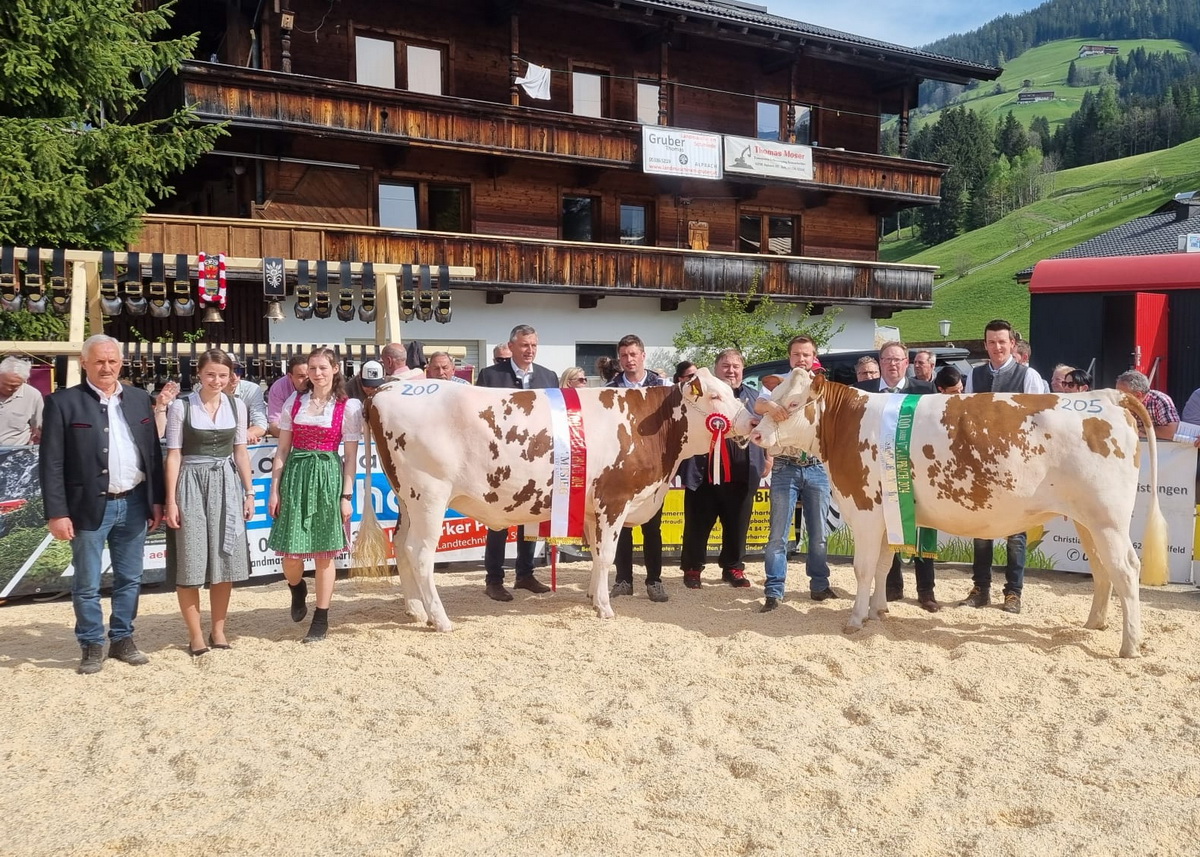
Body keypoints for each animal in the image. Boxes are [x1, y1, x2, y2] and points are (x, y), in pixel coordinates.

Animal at [362, 367, 748, 628]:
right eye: (715, 396)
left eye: (733, 392)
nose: (749, 419)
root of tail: (387, 389)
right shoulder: (614, 499)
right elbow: (607, 555)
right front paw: (605, 608)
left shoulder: (592, 507)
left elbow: (596, 555)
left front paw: (592, 597)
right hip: (429, 495)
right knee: (420, 553)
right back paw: (440, 619)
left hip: (406, 499)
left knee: (401, 545)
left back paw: (415, 610)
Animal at [753, 369, 1166, 657]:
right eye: (772, 394)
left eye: (793, 404)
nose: (755, 433)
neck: (848, 424)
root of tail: (1108, 396)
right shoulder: (886, 514)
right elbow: (885, 566)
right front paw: (878, 612)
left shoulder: (867, 511)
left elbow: (865, 569)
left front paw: (856, 620)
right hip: (1087, 521)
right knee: (1101, 568)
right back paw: (1095, 623)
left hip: (1108, 519)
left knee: (1126, 569)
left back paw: (1129, 646)